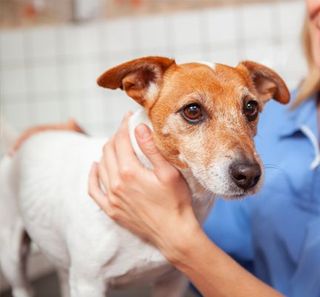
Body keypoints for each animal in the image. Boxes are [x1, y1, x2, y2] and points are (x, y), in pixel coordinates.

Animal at [0, 56, 290, 296]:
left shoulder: (172, 282)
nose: (249, 174)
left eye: (251, 108)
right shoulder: (88, 283)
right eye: (192, 110)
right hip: (13, 258)